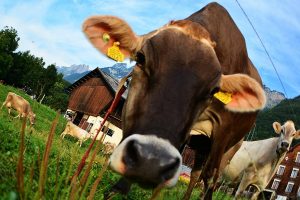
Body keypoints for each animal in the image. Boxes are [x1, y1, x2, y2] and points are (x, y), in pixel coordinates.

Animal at [81, 2, 264, 199]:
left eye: (214, 90)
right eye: (140, 58)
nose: (151, 162)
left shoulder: (224, 132)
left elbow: (209, 176)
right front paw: (117, 191)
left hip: (232, 146)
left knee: (211, 179)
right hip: (201, 145)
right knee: (195, 174)